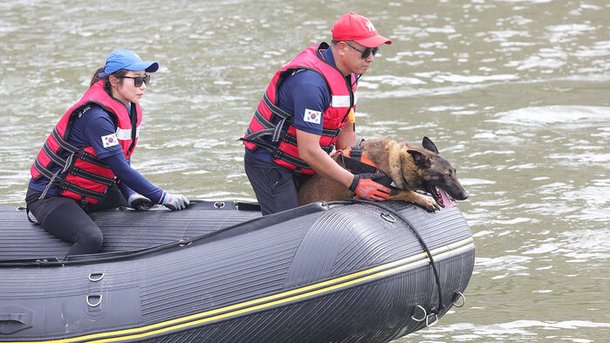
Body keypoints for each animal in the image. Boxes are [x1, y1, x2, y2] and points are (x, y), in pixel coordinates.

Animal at [296, 137, 468, 212]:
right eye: (447, 175)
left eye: (455, 172)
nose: (466, 195)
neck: (399, 162)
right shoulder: (376, 191)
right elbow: (407, 192)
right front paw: (425, 200)